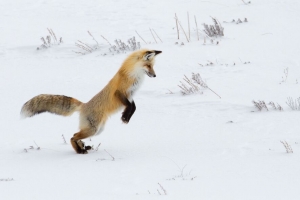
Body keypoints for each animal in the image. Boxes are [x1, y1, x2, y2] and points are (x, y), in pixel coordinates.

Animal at [20, 49, 162, 154]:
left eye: (153, 66)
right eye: (148, 66)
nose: (155, 75)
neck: (133, 76)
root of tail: (84, 105)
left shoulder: (131, 95)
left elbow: (134, 107)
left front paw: (126, 116)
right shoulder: (120, 93)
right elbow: (129, 106)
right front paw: (125, 117)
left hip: (98, 130)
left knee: (74, 134)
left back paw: (82, 147)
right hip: (93, 129)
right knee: (72, 136)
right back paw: (79, 150)